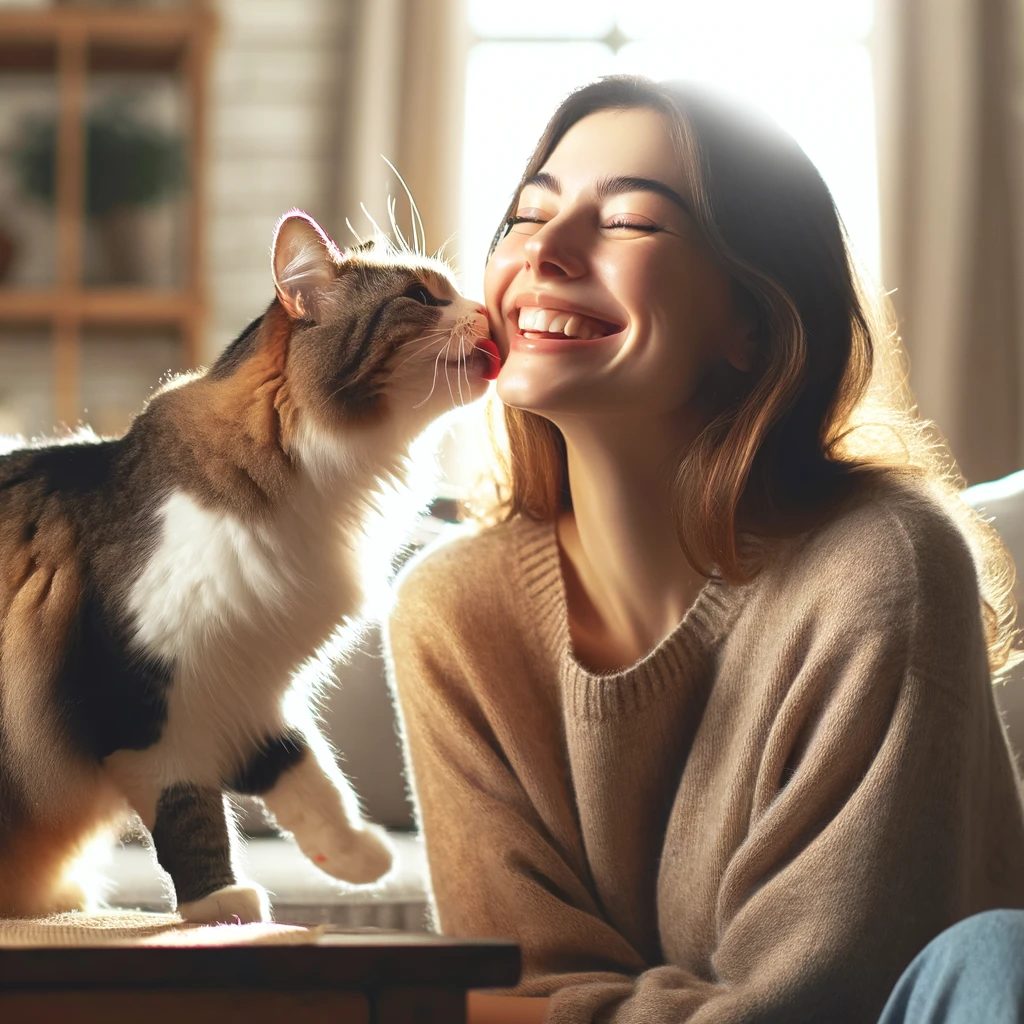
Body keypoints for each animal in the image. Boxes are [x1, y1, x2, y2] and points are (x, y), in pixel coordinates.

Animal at [0, 211, 499, 925]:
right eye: (421, 298)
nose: (487, 309)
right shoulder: (144, 700)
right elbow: (191, 813)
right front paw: (221, 906)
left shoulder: (246, 682)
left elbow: (306, 772)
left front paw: (357, 857)